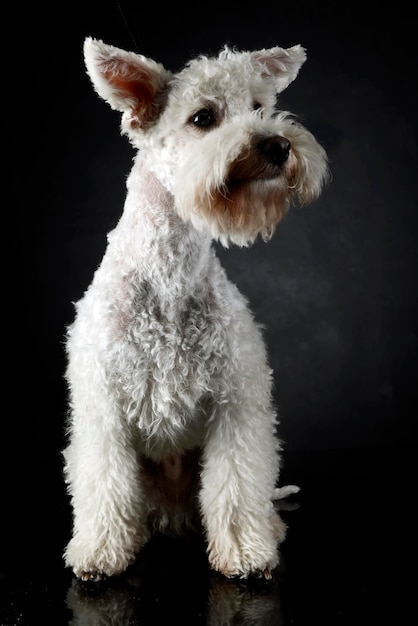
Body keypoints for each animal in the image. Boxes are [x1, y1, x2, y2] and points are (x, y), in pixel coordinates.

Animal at [62, 37, 330, 580]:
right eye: (203, 117)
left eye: (259, 106)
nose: (278, 146)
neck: (170, 273)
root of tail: (171, 513)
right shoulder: (102, 407)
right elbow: (105, 483)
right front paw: (99, 553)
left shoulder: (236, 404)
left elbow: (236, 485)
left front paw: (246, 553)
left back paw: (269, 526)